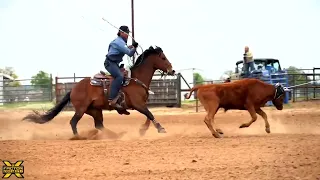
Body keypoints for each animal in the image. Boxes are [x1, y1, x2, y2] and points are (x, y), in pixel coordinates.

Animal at [23, 46, 175, 138]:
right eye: (163, 58)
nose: (172, 70)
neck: (135, 81)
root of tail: (73, 89)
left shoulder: (141, 104)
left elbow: (148, 116)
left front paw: (143, 130)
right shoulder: (138, 105)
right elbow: (150, 114)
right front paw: (160, 128)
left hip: (95, 110)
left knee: (99, 125)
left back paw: (116, 135)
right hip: (82, 109)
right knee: (73, 122)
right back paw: (78, 137)